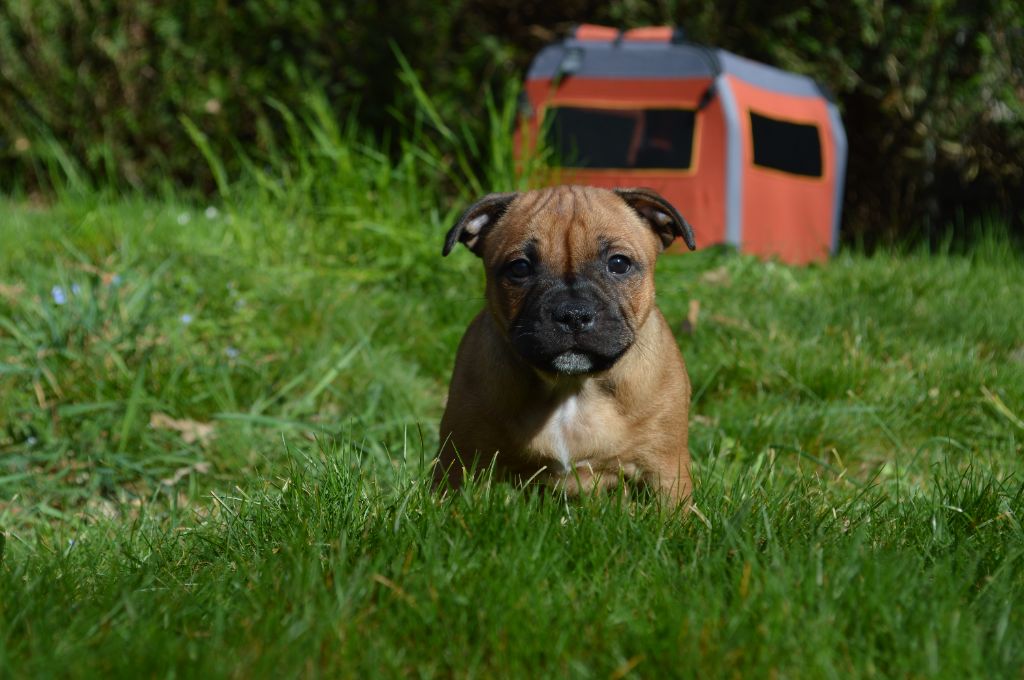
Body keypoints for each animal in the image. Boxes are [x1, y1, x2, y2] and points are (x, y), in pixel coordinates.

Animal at [432, 186, 696, 503]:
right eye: (519, 268)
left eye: (619, 264)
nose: (573, 313)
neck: (571, 387)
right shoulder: (460, 462)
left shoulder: (665, 468)